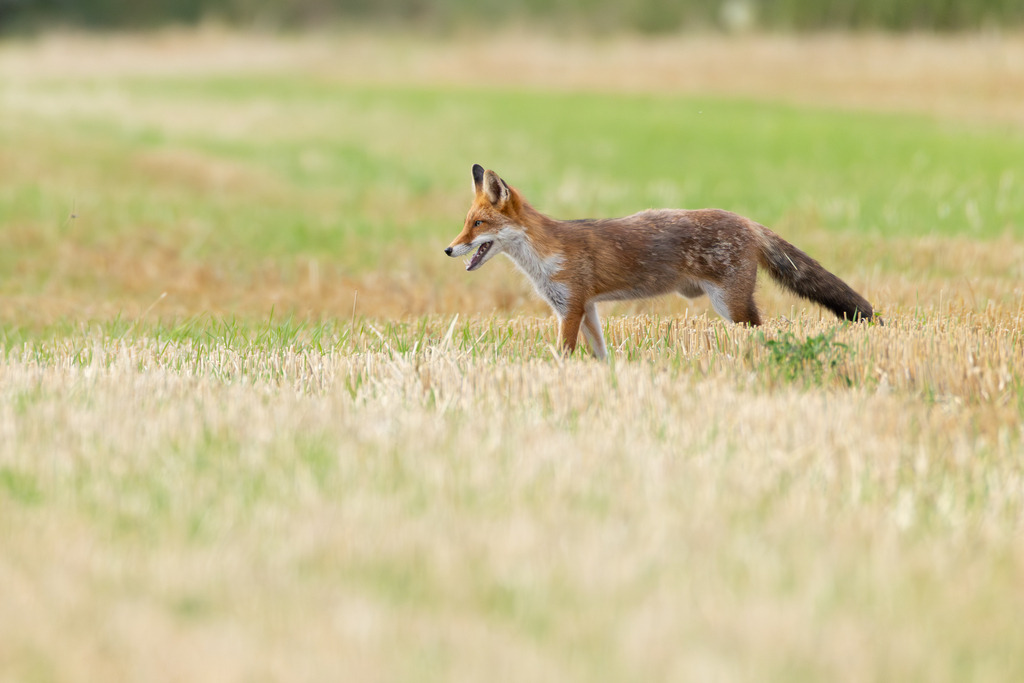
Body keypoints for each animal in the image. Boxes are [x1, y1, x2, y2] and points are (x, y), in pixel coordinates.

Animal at [445, 164, 877, 360]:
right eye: (465, 223)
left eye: (478, 225)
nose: (449, 250)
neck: (544, 254)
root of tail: (747, 221)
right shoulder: (586, 308)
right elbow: (600, 353)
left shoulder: (570, 306)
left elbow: (564, 352)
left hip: (731, 304)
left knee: (759, 329)